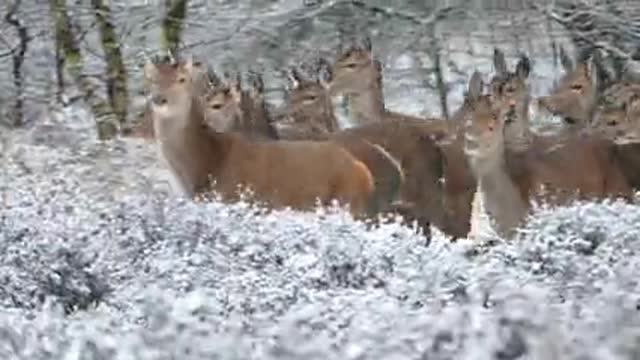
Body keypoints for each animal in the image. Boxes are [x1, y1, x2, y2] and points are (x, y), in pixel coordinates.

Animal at [142, 54, 378, 218]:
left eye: (182, 79)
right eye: (151, 80)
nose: (159, 99)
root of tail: (363, 173)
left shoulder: (234, 198)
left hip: (347, 203)